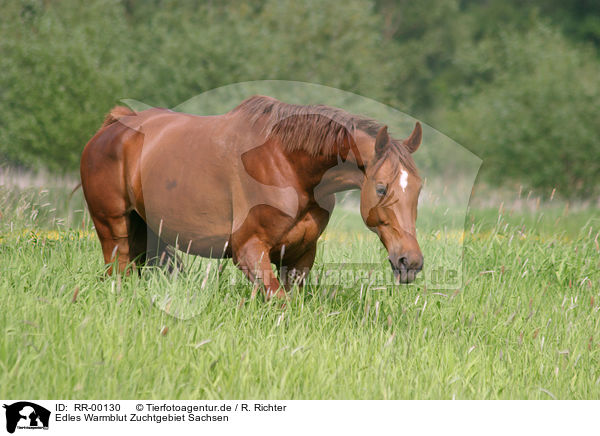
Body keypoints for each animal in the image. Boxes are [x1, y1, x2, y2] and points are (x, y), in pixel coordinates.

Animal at [79, 95, 424, 300]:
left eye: (419, 188)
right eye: (381, 188)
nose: (411, 261)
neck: (288, 164)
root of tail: (112, 128)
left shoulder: (299, 256)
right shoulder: (249, 250)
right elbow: (280, 302)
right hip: (113, 232)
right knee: (118, 274)